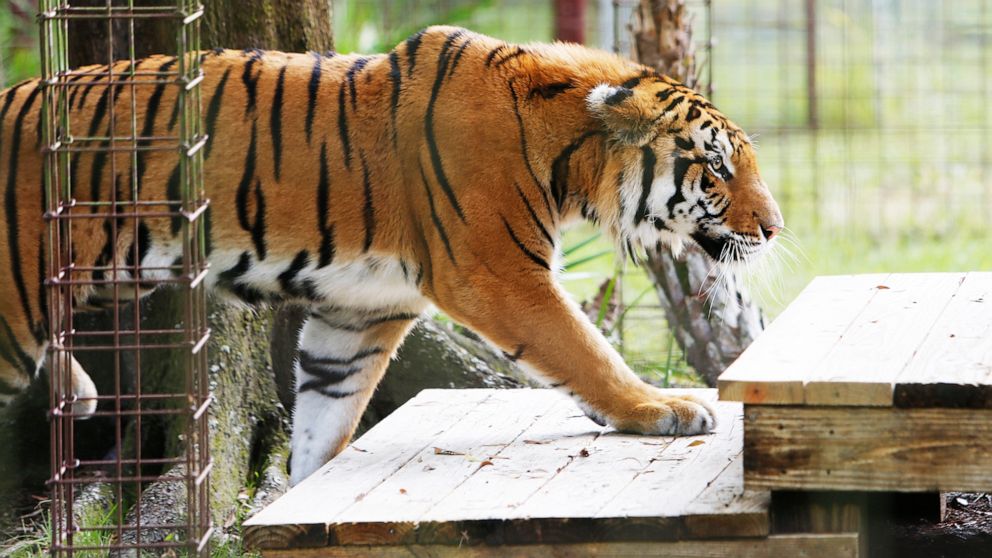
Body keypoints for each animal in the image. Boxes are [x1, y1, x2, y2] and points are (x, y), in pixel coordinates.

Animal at [1, 25, 784, 486]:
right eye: (716, 169)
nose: (775, 229)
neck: (565, 153)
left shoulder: (360, 312)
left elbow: (325, 420)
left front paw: (300, 495)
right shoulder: (498, 275)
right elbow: (585, 350)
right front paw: (662, 407)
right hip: (12, 320)